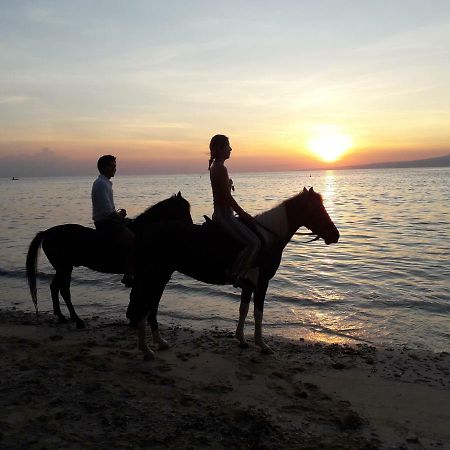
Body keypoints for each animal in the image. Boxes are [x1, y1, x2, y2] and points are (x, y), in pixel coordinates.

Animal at [26, 192, 192, 328]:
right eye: (185, 210)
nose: (191, 227)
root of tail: (47, 232)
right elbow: (144, 296)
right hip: (64, 267)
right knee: (63, 290)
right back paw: (76, 320)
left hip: (64, 267)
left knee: (56, 287)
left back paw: (62, 316)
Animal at [125, 186, 340, 358]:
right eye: (316, 209)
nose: (335, 235)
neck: (267, 238)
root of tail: (148, 231)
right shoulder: (262, 283)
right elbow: (258, 313)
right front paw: (262, 345)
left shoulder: (248, 285)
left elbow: (243, 310)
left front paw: (242, 340)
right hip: (154, 277)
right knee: (145, 307)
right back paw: (146, 350)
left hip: (161, 277)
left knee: (151, 307)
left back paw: (159, 343)